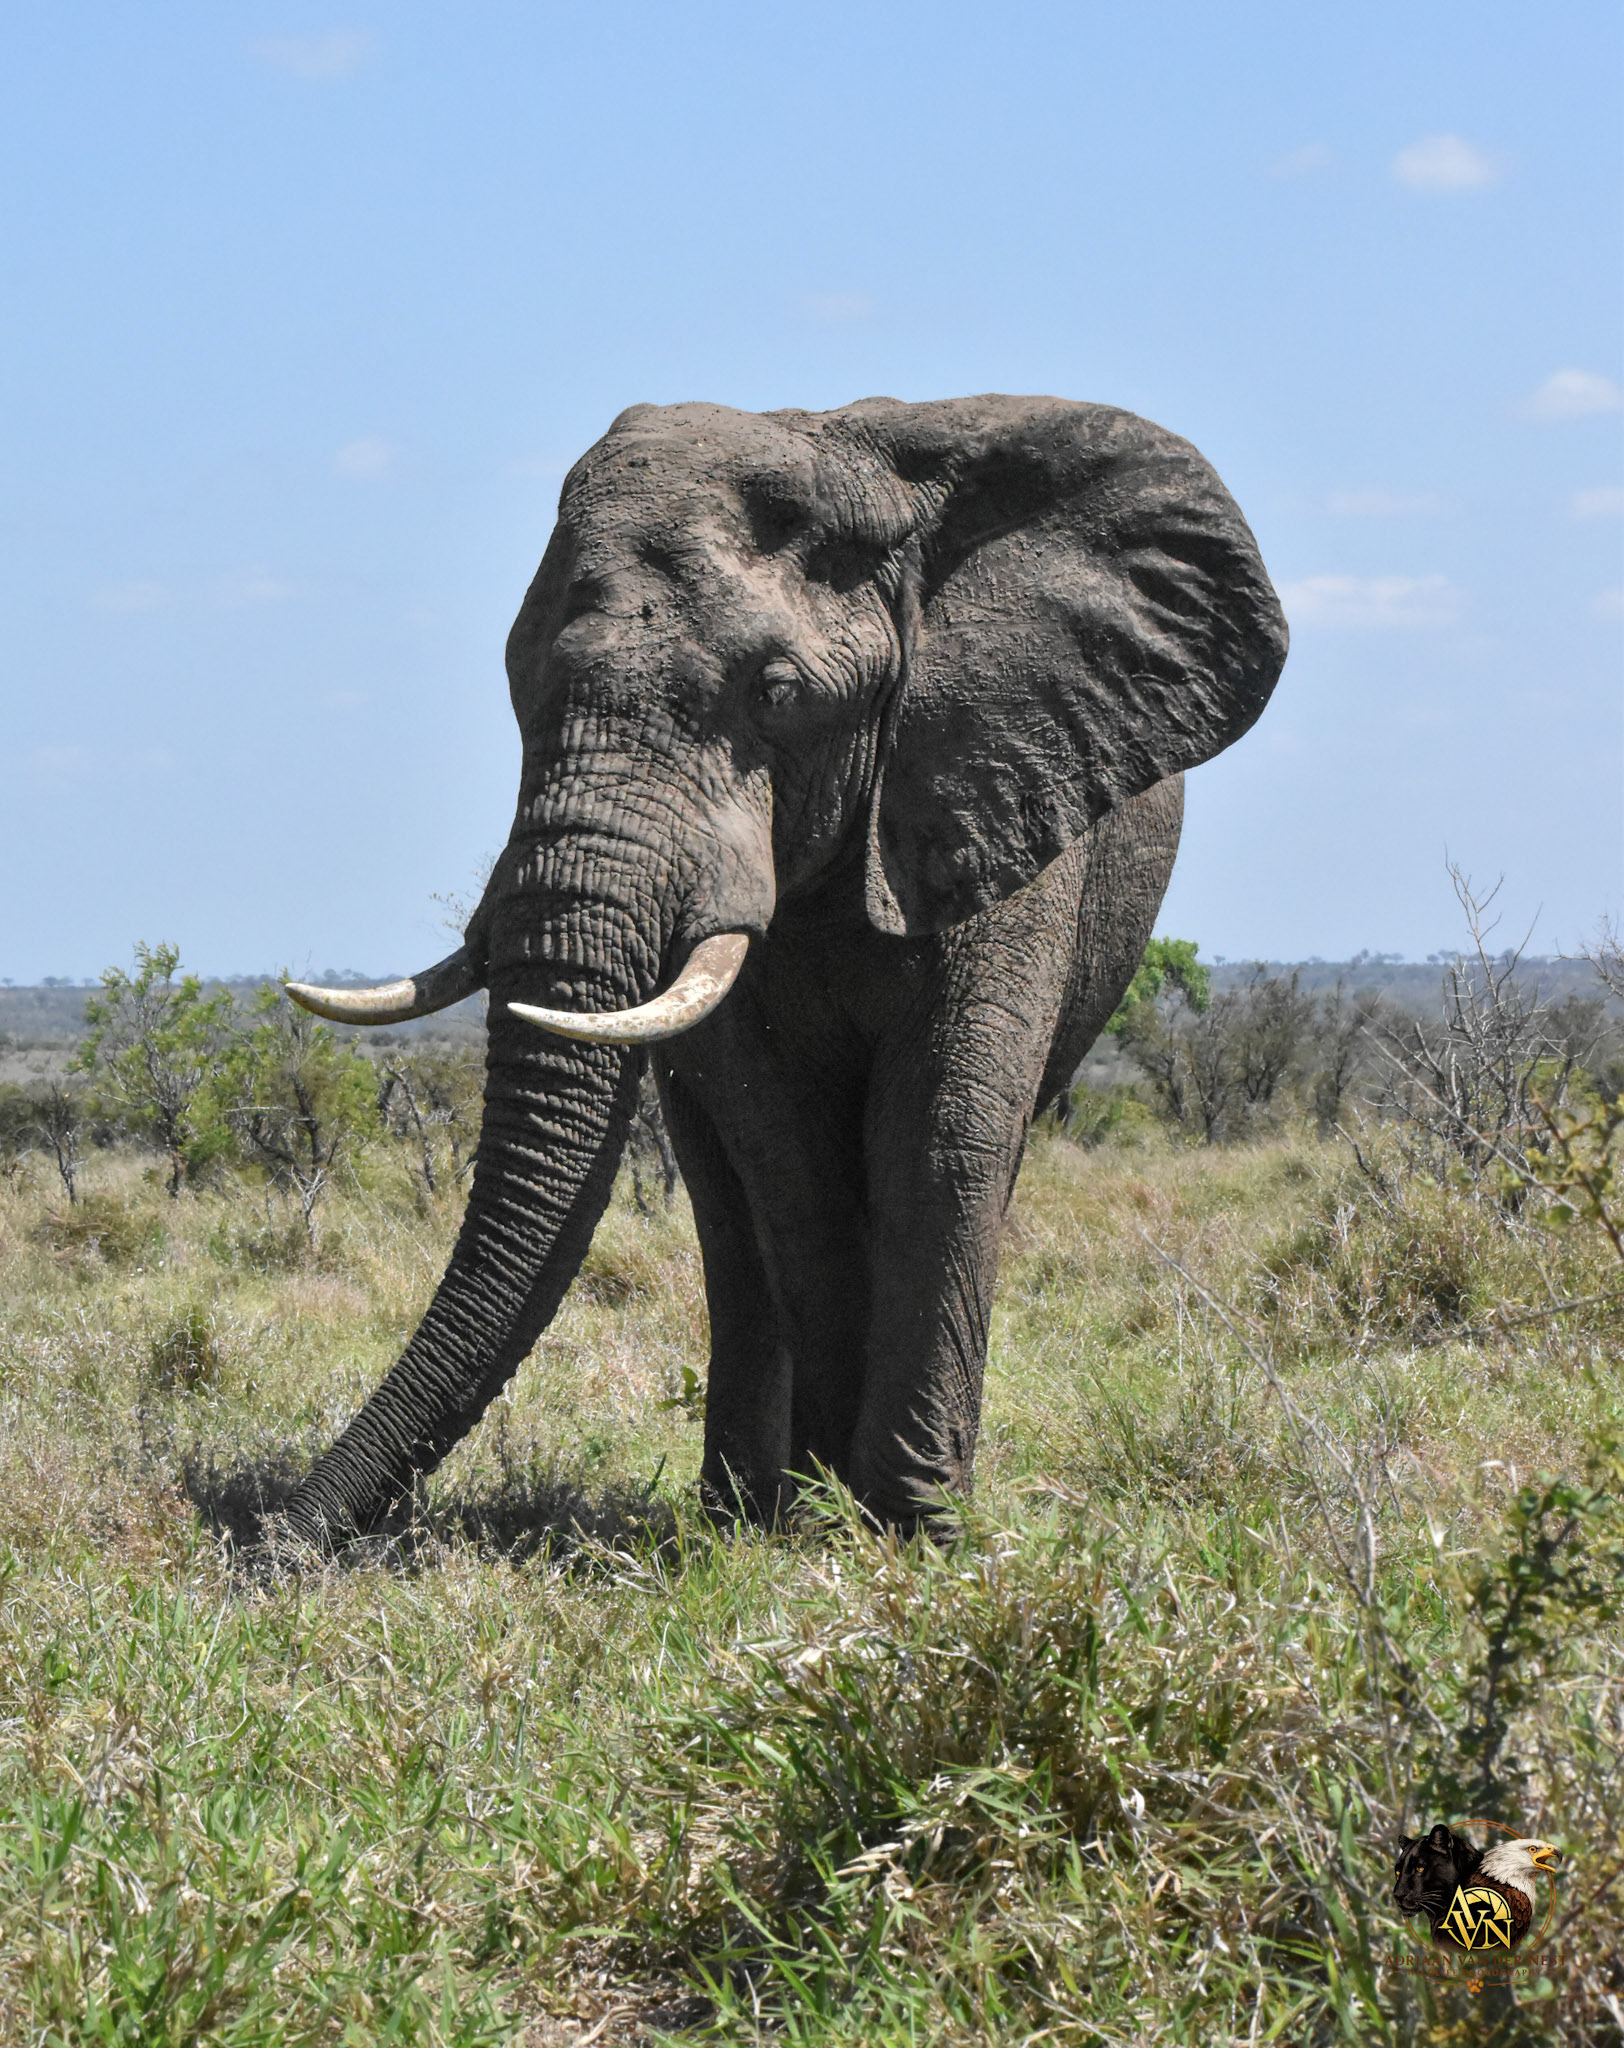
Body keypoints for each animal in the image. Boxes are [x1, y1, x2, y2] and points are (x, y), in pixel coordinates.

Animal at [279, 393, 1287, 1546]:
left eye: (777, 693)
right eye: (515, 686)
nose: (272, 1544)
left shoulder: (999, 781)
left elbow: (944, 1132)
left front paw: (914, 1526)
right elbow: (789, 1159)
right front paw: (822, 1513)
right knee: (727, 1198)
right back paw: (739, 1510)